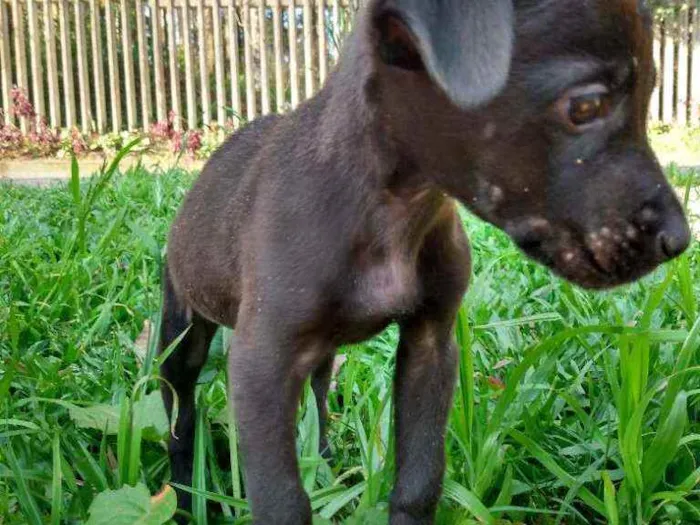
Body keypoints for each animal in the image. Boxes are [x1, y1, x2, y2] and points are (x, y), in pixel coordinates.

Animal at [159, 2, 688, 520]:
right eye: (585, 107)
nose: (679, 240)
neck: (395, 209)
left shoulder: (430, 346)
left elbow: (418, 480)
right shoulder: (261, 368)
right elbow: (282, 500)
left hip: (321, 357)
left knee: (318, 406)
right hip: (179, 342)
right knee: (180, 424)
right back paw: (183, 500)